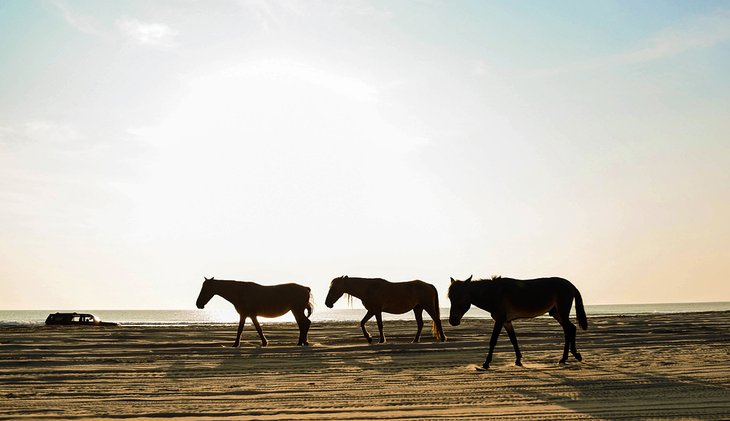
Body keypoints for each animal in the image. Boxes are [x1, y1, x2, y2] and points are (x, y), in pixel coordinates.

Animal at [444, 276, 584, 368]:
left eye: (460, 297)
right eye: (450, 297)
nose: (453, 321)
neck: (494, 293)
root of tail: (571, 285)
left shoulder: (500, 320)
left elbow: (493, 340)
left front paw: (486, 363)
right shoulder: (507, 322)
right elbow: (513, 340)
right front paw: (518, 360)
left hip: (561, 313)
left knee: (569, 330)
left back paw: (567, 357)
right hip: (556, 313)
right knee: (570, 329)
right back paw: (570, 356)